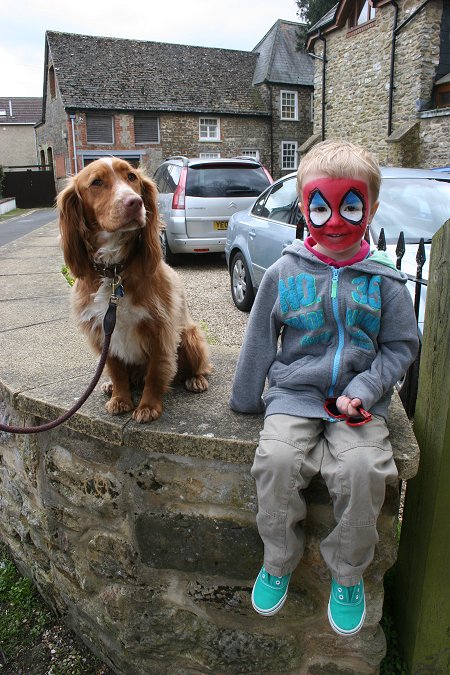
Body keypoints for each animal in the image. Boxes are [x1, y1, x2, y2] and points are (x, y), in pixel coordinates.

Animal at [57, 157, 211, 422]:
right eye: (96, 182)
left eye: (131, 177)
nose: (135, 202)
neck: (115, 271)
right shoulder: (102, 332)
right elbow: (116, 369)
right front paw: (121, 397)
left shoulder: (161, 329)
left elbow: (156, 372)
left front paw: (148, 406)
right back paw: (112, 385)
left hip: (190, 335)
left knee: (196, 367)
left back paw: (196, 379)